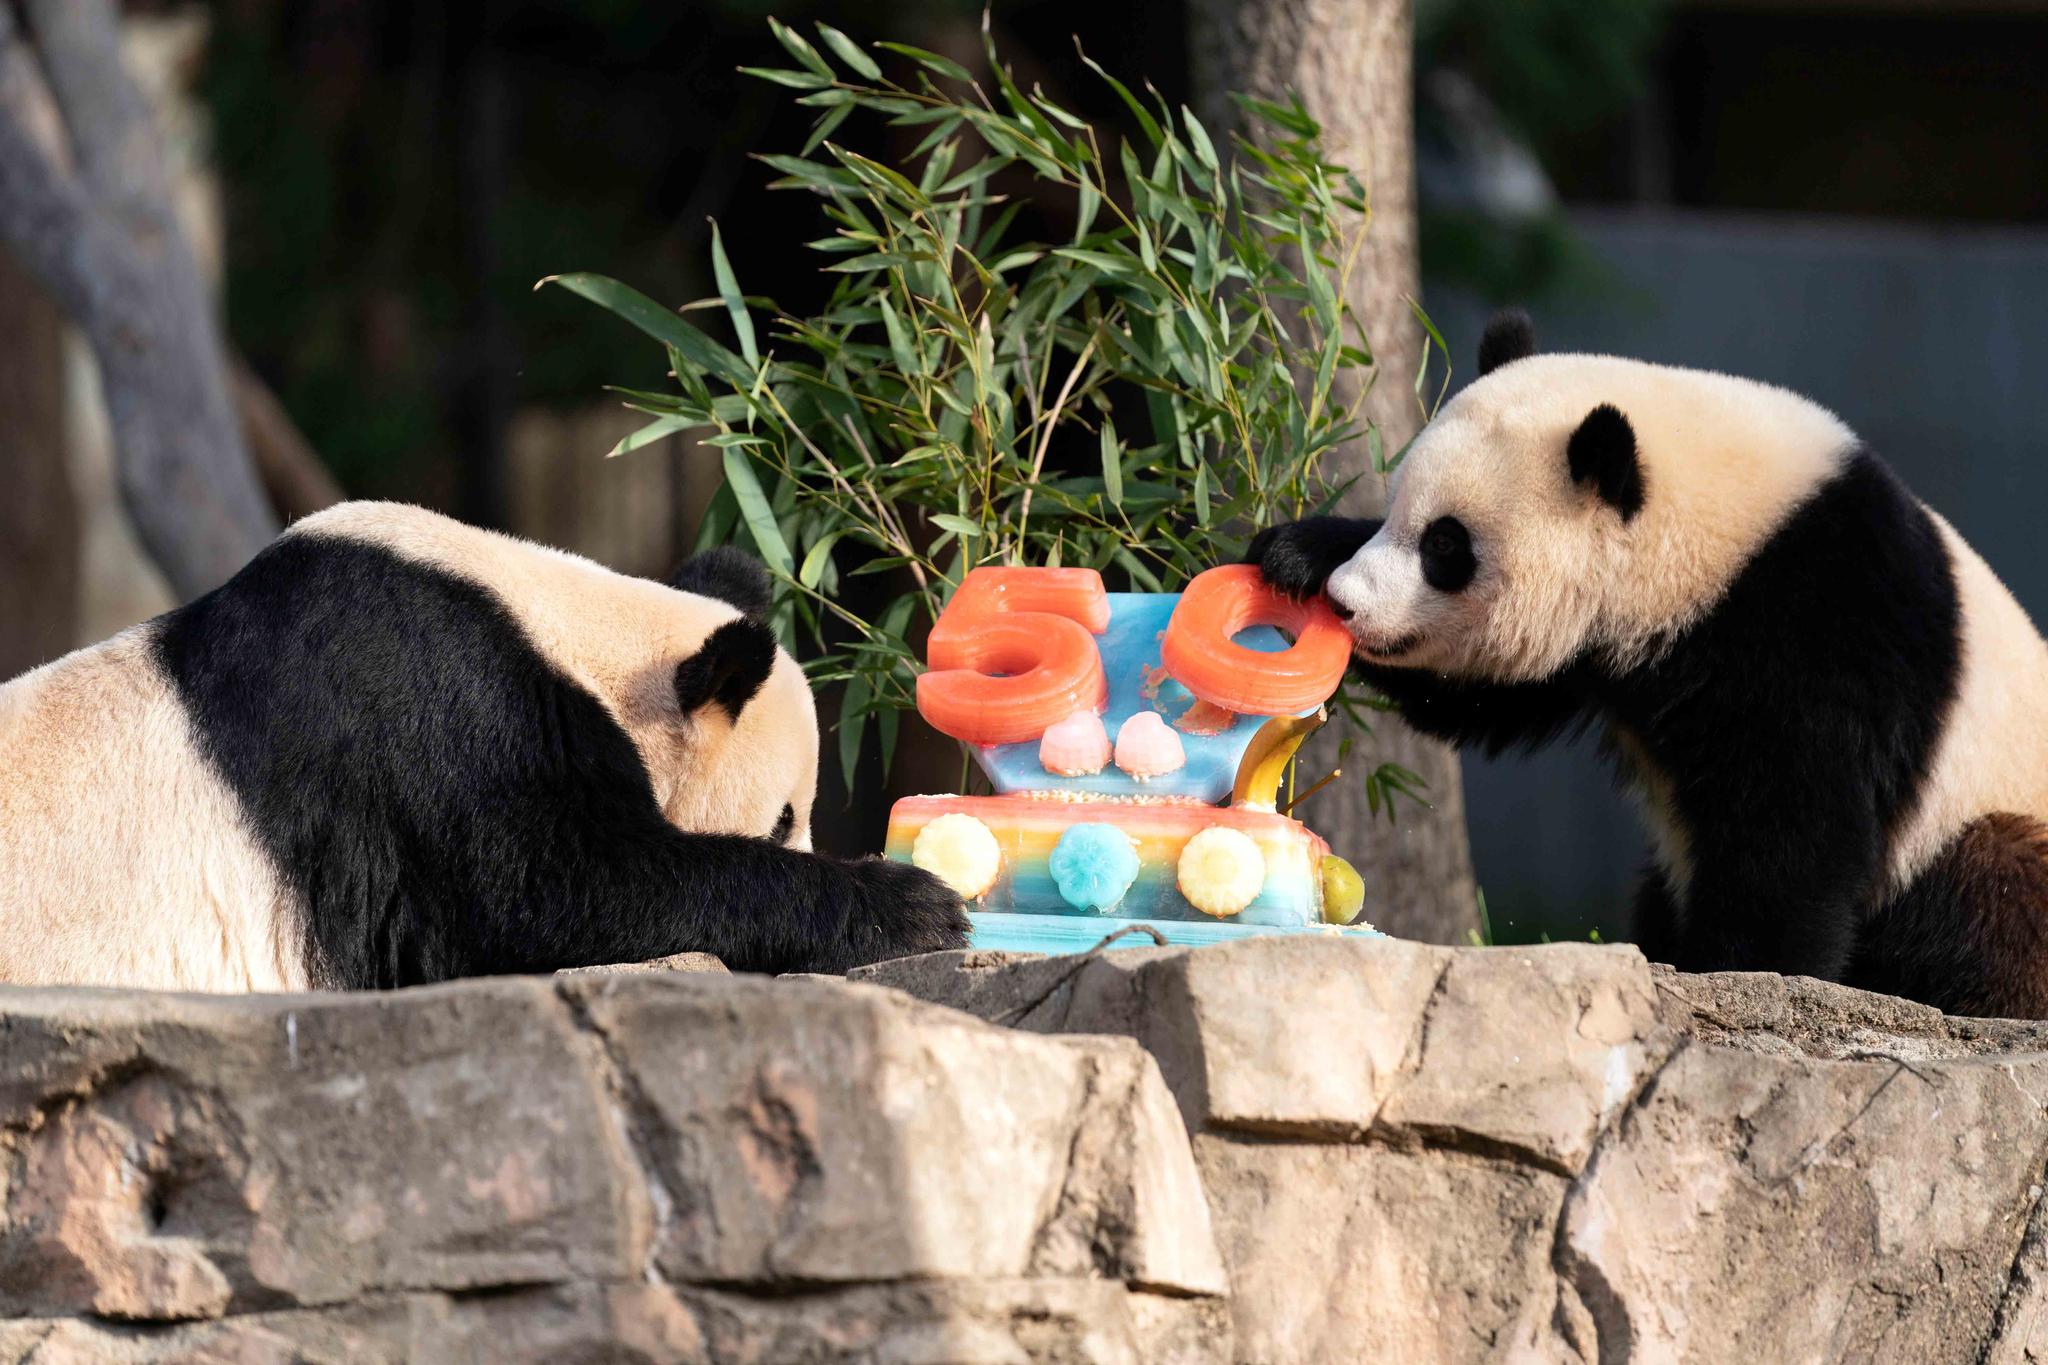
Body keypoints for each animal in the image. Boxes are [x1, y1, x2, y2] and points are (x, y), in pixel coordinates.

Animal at [1245, 309, 2048, 1015]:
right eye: (1392, 512)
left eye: (1446, 545)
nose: (1349, 604)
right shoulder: (1596, 654)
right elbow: (1485, 695)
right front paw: (1296, 555)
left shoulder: (1821, 622)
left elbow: (1798, 826)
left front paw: (1743, 972)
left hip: (1985, 826)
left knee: (1994, 893)